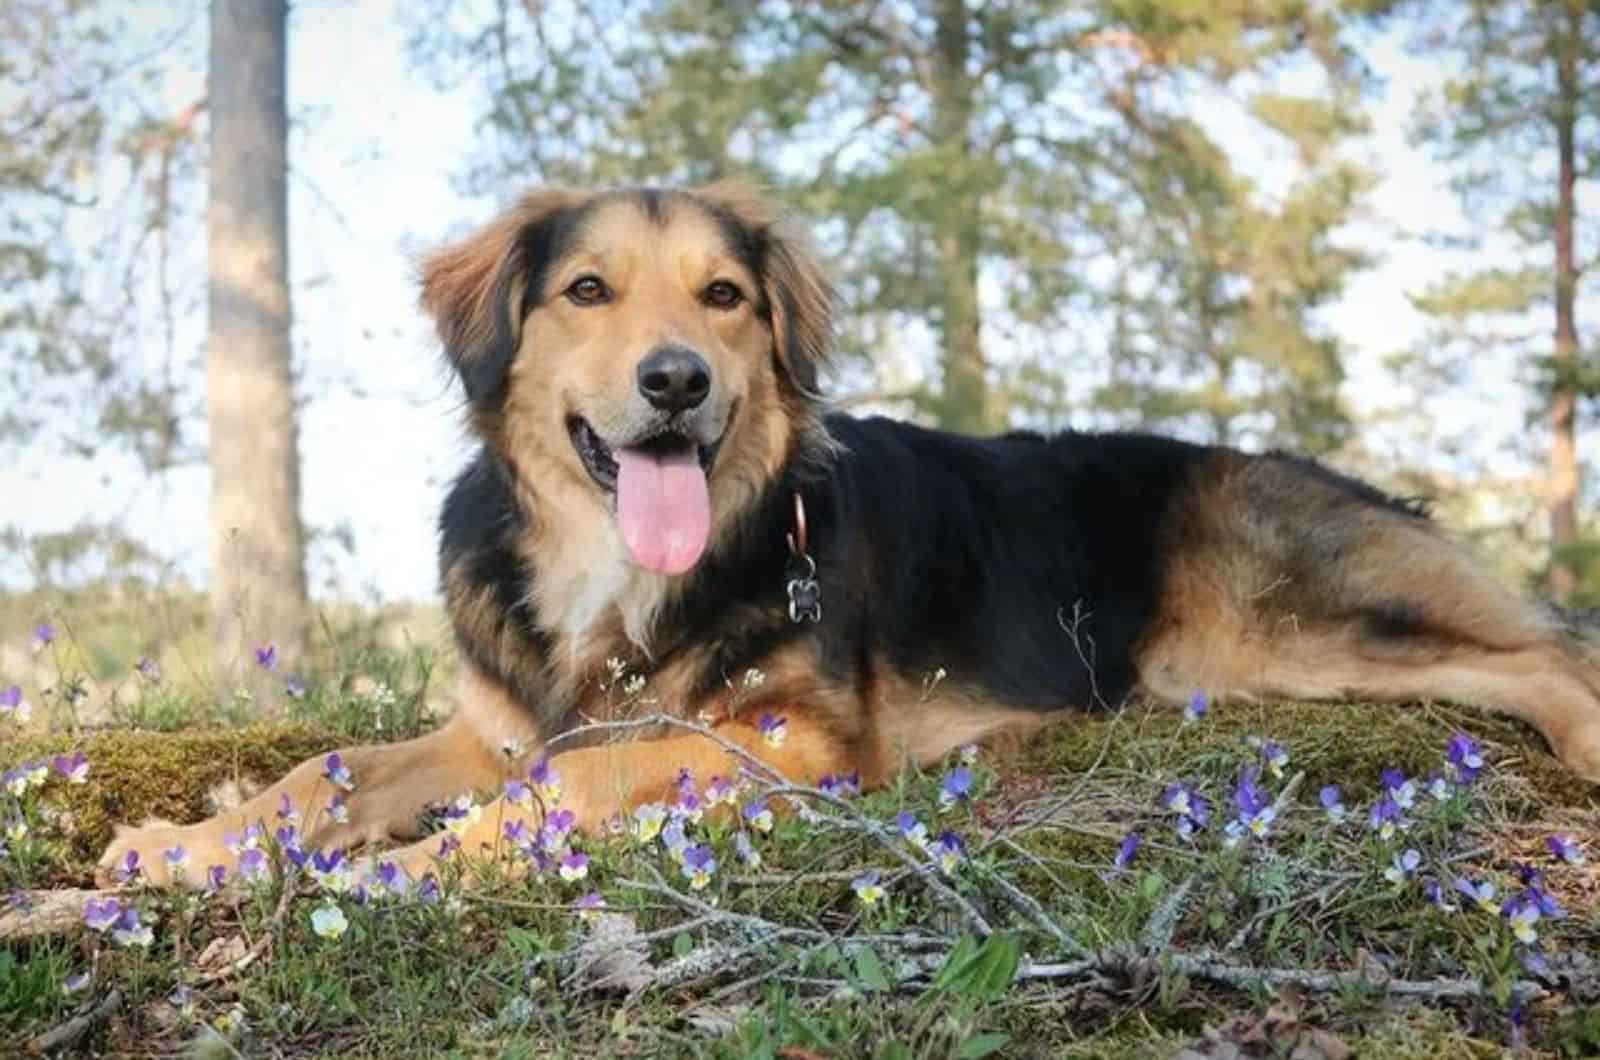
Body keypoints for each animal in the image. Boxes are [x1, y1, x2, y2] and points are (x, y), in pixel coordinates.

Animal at [103, 182, 1600, 890]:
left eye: (722, 296)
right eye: (586, 290)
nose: (675, 382)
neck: (614, 575)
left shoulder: (800, 741)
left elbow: (579, 778)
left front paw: (412, 867)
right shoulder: (491, 727)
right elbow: (329, 768)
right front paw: (190, 845)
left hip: (1284, 627)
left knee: (1545, 659)